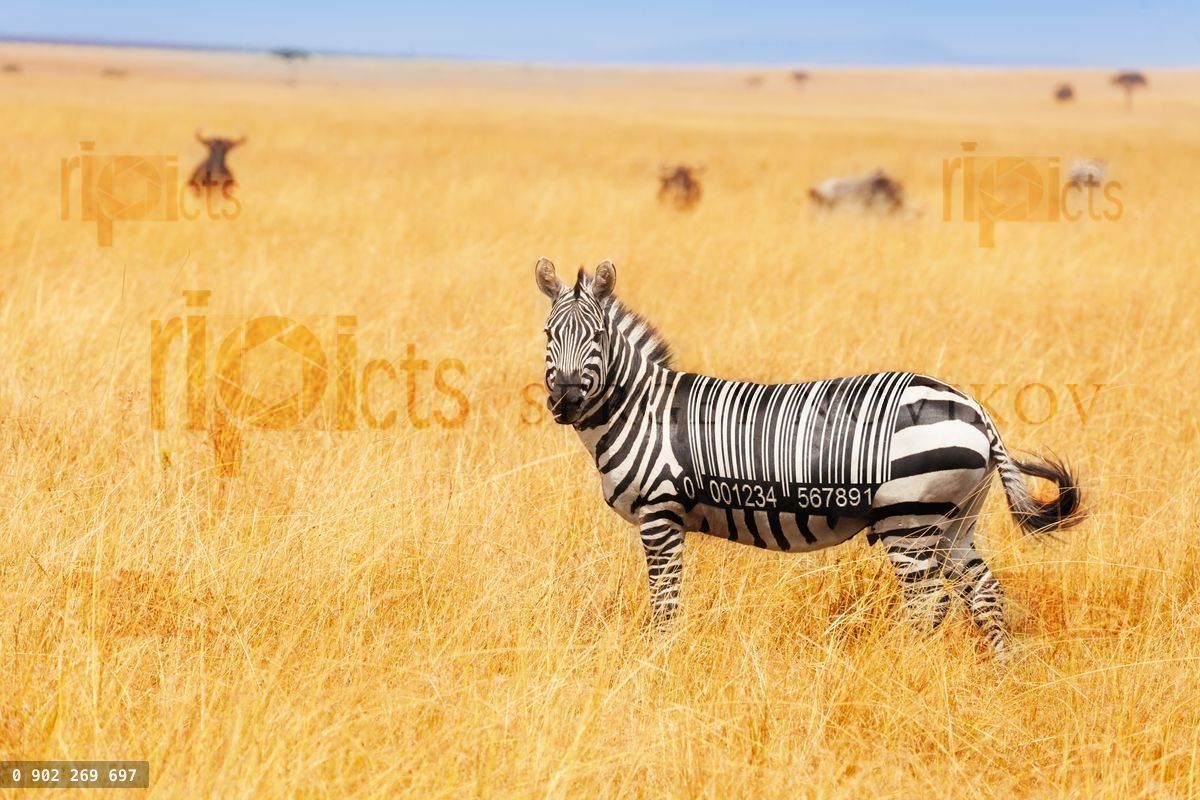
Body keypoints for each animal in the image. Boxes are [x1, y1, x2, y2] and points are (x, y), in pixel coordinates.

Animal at [535, 258, 1083, 655]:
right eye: (548, 336)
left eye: (597, 337)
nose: (565, 400)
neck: (641, 409)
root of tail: (976, 410)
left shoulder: (660, 515)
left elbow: (664, 603)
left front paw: (660, 659)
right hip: (955, 519)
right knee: (983, 592)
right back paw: (1000, 672)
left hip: (909, 519)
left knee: (929, 604)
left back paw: (907, 673)